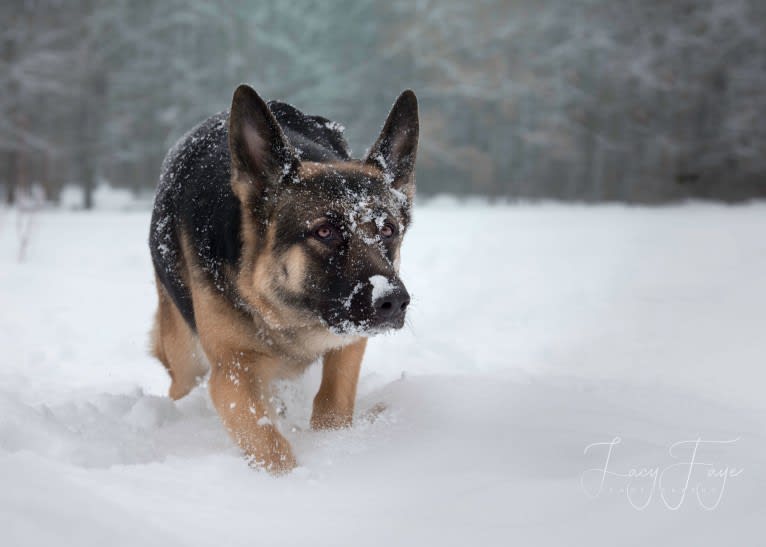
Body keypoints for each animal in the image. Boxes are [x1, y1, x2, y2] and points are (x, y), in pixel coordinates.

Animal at [150, 85, 420, 476]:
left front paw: (332, 443)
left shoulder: (349, 343)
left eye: (388, 230)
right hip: (186, 360)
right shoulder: (232, 373)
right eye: (324, 232)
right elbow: (268, 443)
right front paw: (287, 482)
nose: (394, 301)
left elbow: (333, 404)